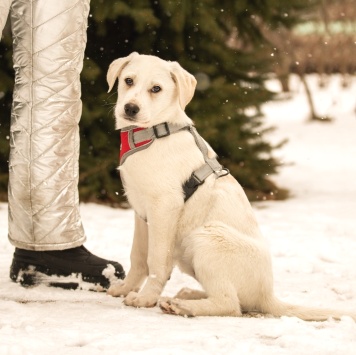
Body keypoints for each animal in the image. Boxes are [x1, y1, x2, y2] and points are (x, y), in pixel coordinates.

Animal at [106, 52, 356, 322]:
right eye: (128, 81)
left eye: (156, 89)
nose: (130, 108)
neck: (152, 133)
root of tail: (267, 295)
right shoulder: (141, 212)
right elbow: (138, 257)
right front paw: (125, 289)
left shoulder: (164, 208)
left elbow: (156, 259)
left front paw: (145, 298)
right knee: (233, 299)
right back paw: (188, 295)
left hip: (207, 238)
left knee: (230, 304)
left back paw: (183, 306)